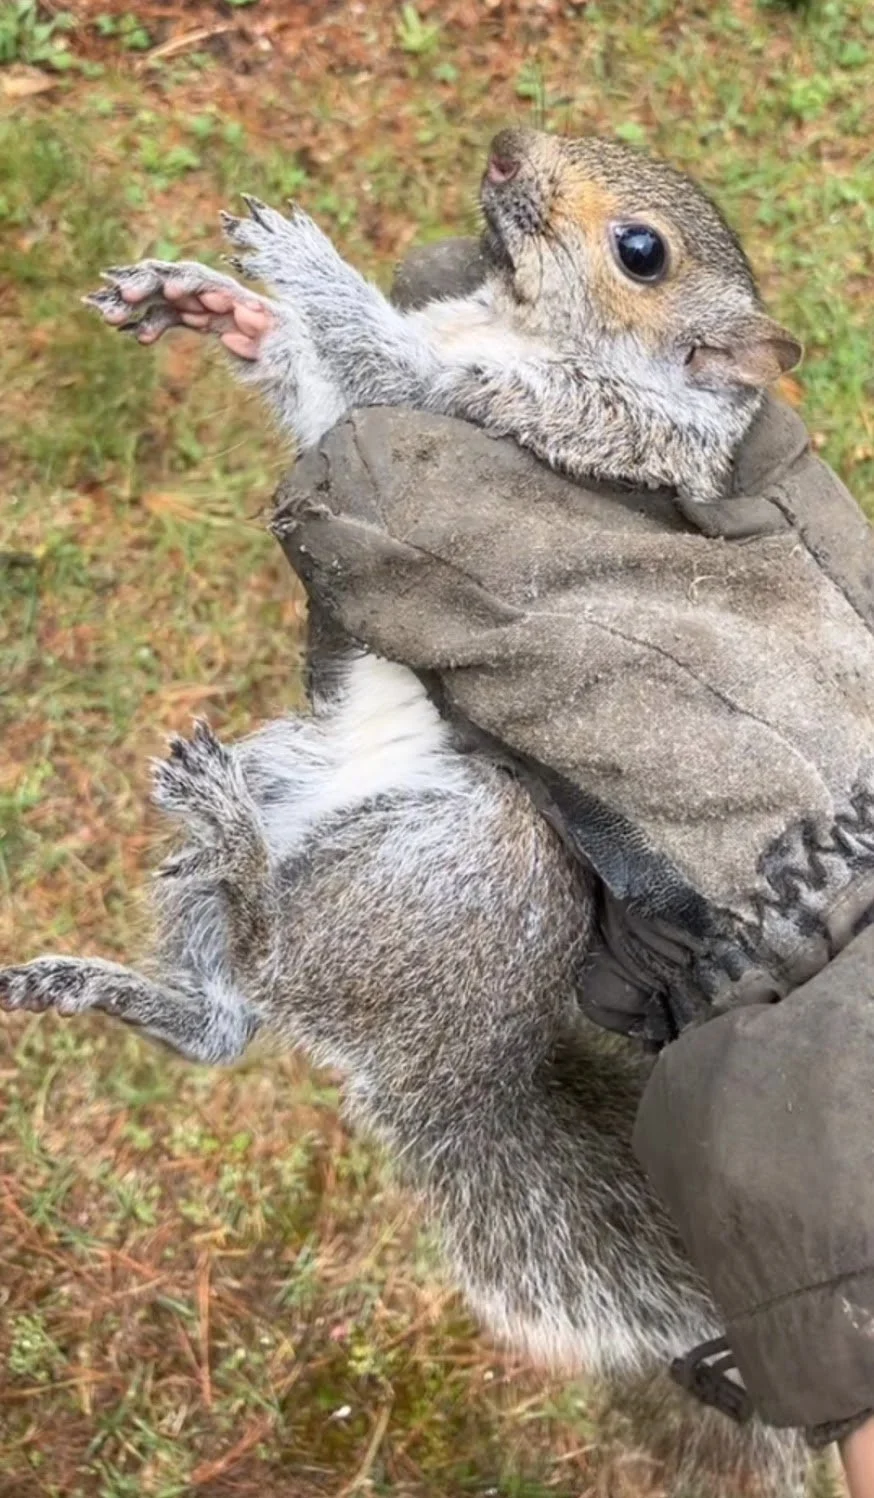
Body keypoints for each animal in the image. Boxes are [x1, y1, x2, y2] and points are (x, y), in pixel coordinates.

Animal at [1, 133, 809, 1494]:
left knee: (266, 980)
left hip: (462, 853)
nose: (505, 147)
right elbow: (328, 396)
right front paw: (211, 307)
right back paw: (127, 963)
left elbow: (384, 369)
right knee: (225, 1025)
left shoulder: (544, 421)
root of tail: (453, 1061)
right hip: (288, 776)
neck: (514, 319)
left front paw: (295, 259)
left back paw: (239, 868)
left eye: (640, 250)